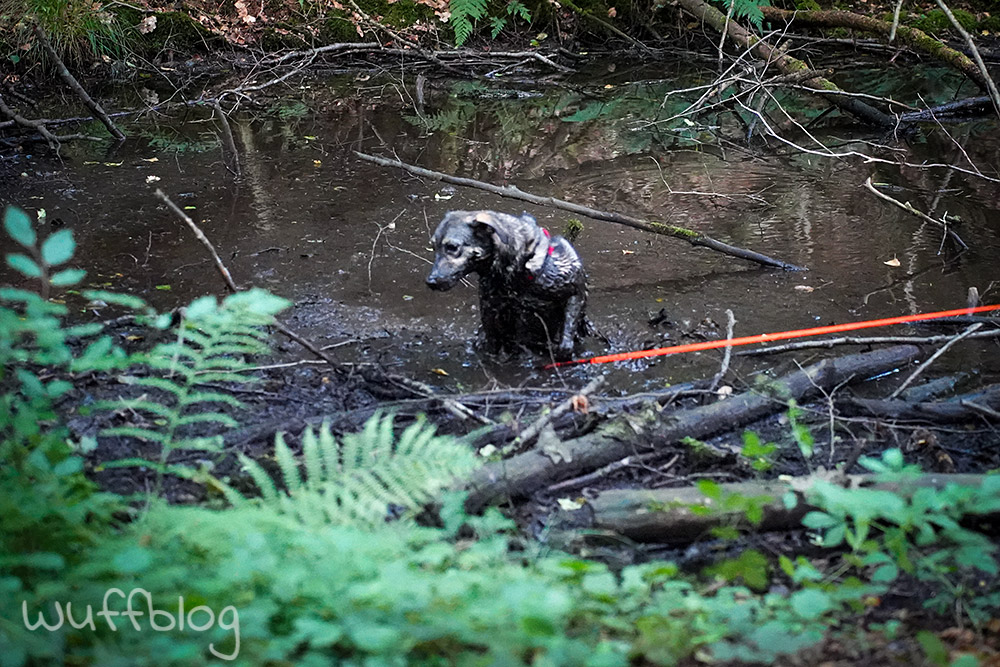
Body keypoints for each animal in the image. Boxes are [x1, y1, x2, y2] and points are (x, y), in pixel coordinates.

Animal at [428, 213, 584, 360]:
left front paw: (565, 345)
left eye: (452, 247)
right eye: (433, 246)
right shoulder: (490, 311)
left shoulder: (574, 285)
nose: (431, 281)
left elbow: (571, 318)